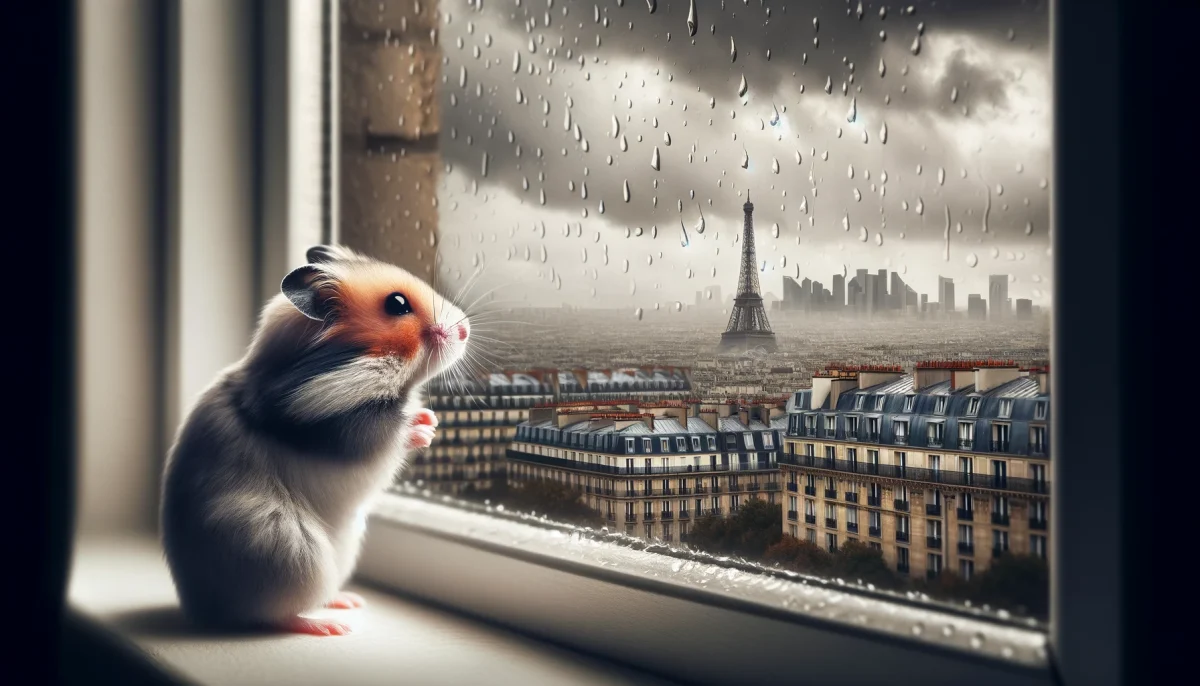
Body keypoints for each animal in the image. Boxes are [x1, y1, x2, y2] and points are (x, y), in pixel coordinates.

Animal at [160, 244, 470, 636]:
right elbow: (386, 431)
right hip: (286, 547)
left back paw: (347, 601)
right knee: (273, 615)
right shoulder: (342, 431)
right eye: (397, 305)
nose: (466, 329)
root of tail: (200, 611)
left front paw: (432, 420)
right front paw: (425, 427)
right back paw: (327, 626)